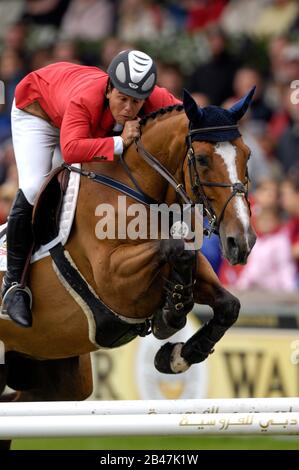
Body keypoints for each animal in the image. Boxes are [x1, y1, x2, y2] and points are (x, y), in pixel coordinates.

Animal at [0, 89, 255, 448]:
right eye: (203, 159)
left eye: (247, 155)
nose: (241, 241)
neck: (140, 188)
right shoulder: (114, 280)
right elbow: (175, 249)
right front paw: (171, 315)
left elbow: (227, 304)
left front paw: (176, 353)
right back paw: (15, 301)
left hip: (56, 374)